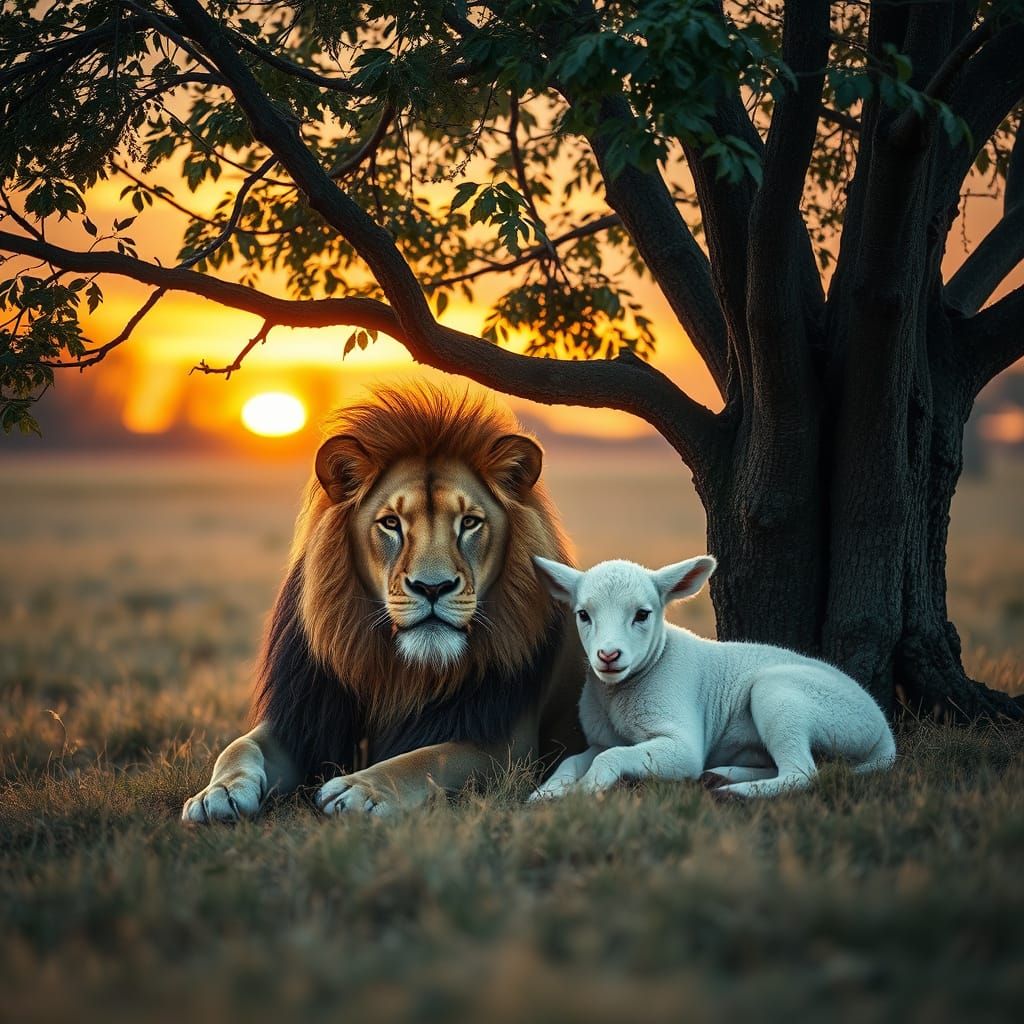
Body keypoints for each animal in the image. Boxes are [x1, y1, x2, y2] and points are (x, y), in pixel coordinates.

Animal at [182, 384, 585, 822]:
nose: (432, 587)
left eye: (469, 523)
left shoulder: (507, 747)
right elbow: (239, 746)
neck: (401, 674)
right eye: (391, 523)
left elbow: (426, 758)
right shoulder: (305, 721)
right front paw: (217, 793)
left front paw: (359, 789)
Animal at [530, 555, 896, 800]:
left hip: (788, 697)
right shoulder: (601, 739)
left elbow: (612, 756)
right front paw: (546, 793)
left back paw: (738, 792)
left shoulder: (682, 743)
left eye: (642, 614)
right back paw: (721, 777)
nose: (608, 656)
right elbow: (573, 760)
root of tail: (884, 733)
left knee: (802, 772)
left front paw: (585, 790)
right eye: (583, 615)